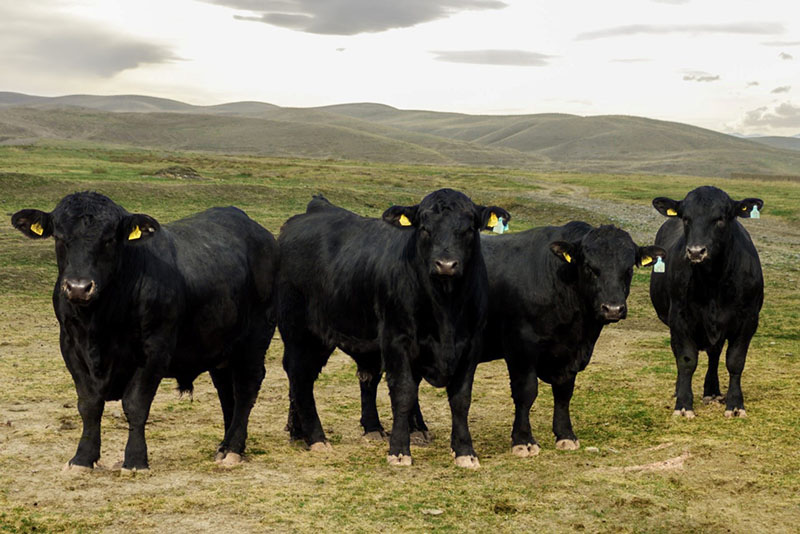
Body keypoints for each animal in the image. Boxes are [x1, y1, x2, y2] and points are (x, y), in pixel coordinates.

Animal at [7, 193, 278, 474]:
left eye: (109, 239)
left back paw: (234, 449)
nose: (79, 288)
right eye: (60, 237)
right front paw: (82, 458)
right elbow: (89, 404)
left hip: (256, 337)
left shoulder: (155, 349)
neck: (99, 322)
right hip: (220, 346)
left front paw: (135, 460)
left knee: (246, 386)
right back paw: (224, 446)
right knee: (226, 390)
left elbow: (136, 404)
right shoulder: (70, 346)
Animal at [648, 187, 764, 418]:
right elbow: (686, 360)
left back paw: (712, 391)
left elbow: (735, 361)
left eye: (720, 218)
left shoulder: (748, 319)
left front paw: (735, 404)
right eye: (686, 218)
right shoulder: (680, 318)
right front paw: (684, 404)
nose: (695, 251)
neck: (713, 282)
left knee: (714, 354)